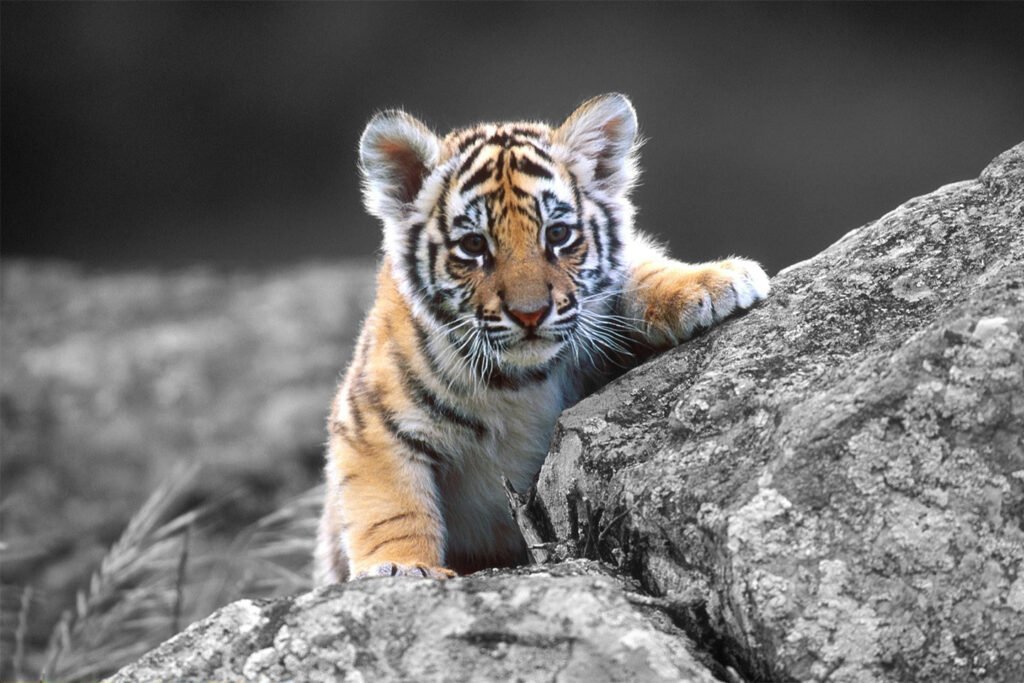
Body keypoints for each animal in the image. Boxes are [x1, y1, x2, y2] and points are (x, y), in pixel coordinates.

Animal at [315, 93, 770, 583]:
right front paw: (402, 567)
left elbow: (639, 270)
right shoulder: (370, 423)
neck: (519, 382)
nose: (530, 313)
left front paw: (715, 282)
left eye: (558, 234)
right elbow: (392, 507)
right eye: (473, 246)